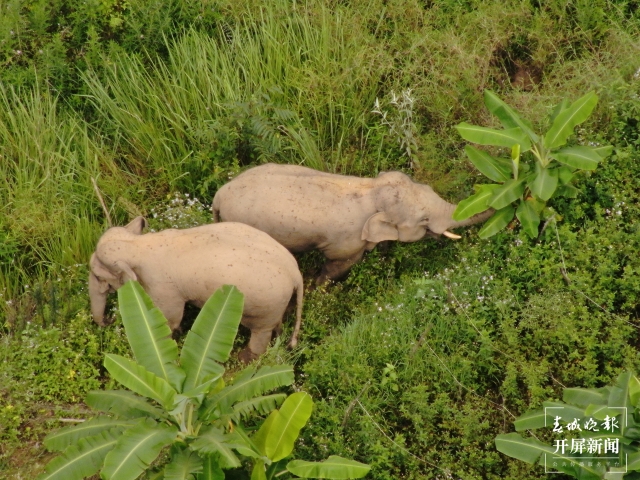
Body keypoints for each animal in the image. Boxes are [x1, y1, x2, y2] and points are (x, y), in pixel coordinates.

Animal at [88, 216, 304, 362]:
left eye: (98, 276)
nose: (110, 319)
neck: (137, 244)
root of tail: (296, 274)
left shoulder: (163, 288)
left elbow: (170, 319)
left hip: (266, 307)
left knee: (261, 333)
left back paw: (242, 360)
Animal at [212, 164, 492, 284]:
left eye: (428, 188)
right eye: (423, 220)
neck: (371, 188)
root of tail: (218, 196)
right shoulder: (345, 242)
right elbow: (338, 266)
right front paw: (319, 287)